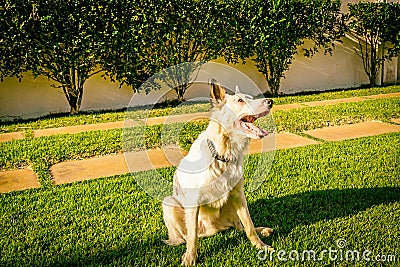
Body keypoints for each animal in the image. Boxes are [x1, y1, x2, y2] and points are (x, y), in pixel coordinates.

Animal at [161, 79, 274, 266]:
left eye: (250, 98)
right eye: (240, 101)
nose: (271, 102)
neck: (222, 154)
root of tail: (214, 230)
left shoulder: (238, 195)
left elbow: (249, 225)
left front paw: (260, 245)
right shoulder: (193, 202)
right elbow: (192, 237)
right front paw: (190, 258)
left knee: (240, 226)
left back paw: (262, 230)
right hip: (168, 202)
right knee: (185, 237)